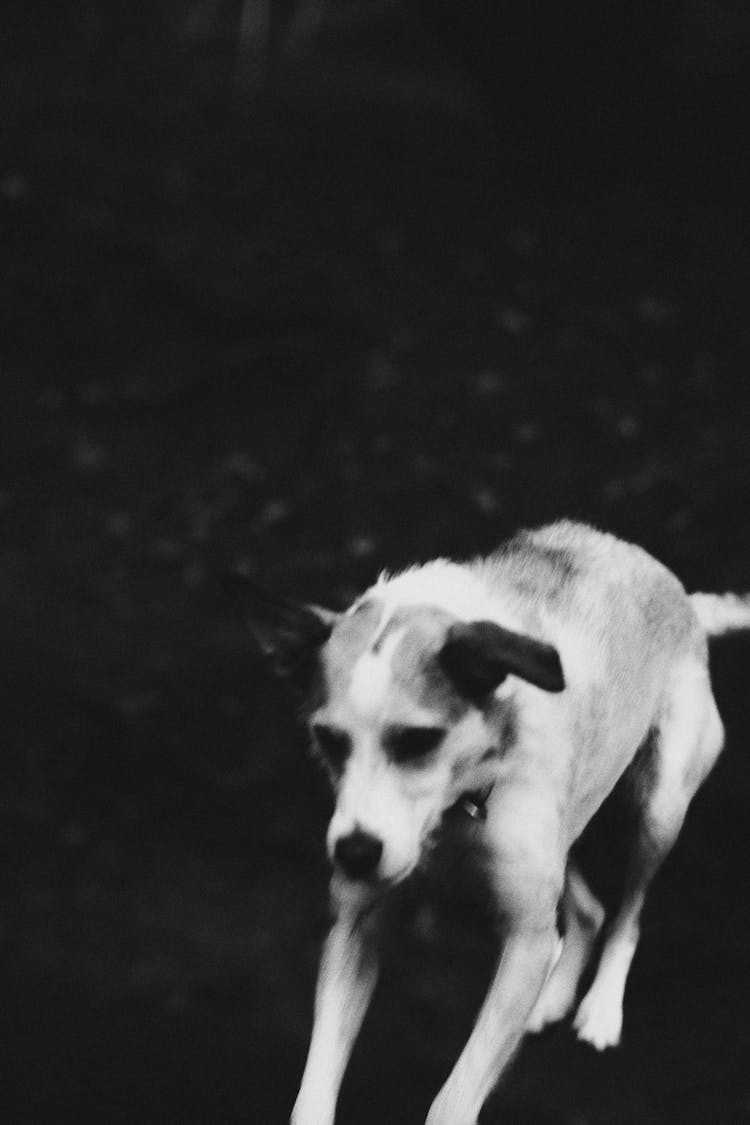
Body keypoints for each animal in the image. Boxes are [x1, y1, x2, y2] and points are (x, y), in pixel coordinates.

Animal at [224, 522, 750, 1120]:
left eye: (418, 740)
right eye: (329, 740)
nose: (355, 853)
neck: (455, 810)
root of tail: (679, 593)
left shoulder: (522, 940)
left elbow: (452, 1102)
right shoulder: (355, 930)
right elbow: (312, 1096)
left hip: (659, 807)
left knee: (627, 914)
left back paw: (600, 1008)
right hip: (562, 834)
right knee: (588, 912)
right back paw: (551, 996)